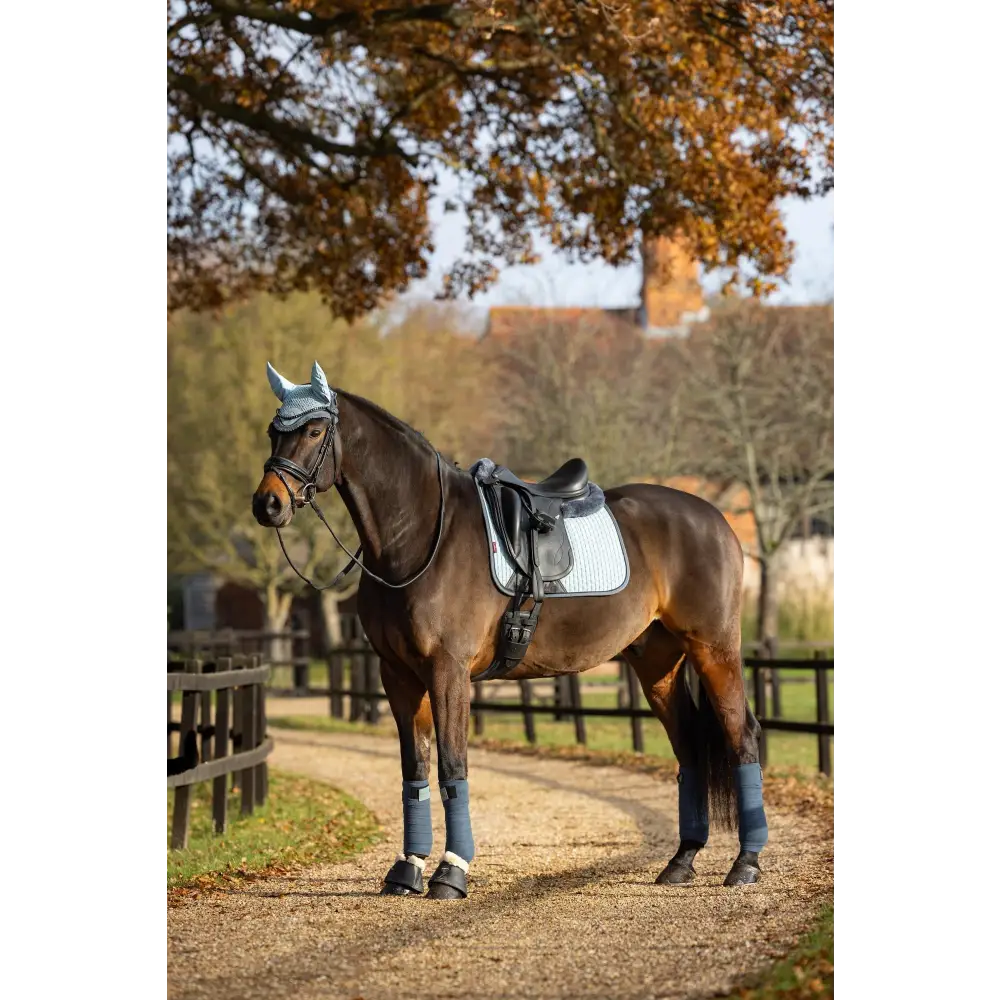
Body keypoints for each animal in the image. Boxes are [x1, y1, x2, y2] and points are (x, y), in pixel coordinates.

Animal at [250, 360, 764, 900]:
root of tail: (716, 519)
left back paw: (745, 864)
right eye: (273, 431)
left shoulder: (448, 672)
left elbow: (452, 766)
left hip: (714, 649)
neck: (420, 537)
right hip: (658, 663)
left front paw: (451, 872)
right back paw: (682, 860)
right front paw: (407, 869)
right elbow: (415, 768)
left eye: (313, 430)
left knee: (741, 735)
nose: (267, 504)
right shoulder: (399, 676)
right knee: (689, 746)